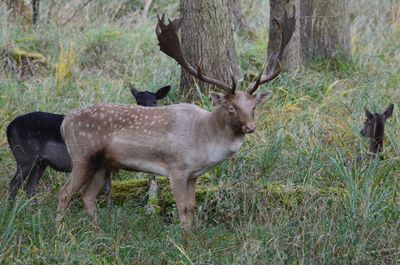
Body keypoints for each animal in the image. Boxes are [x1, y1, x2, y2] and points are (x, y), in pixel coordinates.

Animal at [6, 84, 170, 204]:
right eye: (138, 102)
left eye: (155, 101)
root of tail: (8, 128)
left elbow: (108, 189)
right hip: (24, 156)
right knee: (14, 183)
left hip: (41, 162)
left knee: (30, 187)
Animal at [55, 11, 294, 229]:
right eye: (231, 107)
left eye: (254, 107)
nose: (250, 127)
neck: (204, 138)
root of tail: (65, 122)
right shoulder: (177, 168)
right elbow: (182, 208)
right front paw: (183, 242)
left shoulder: (194, 174)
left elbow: (191, 208)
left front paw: (191, 240)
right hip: (82, 155)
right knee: (65, 192)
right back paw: (60, 233)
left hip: (102, 162)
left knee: (87, 196)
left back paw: (98, 232)